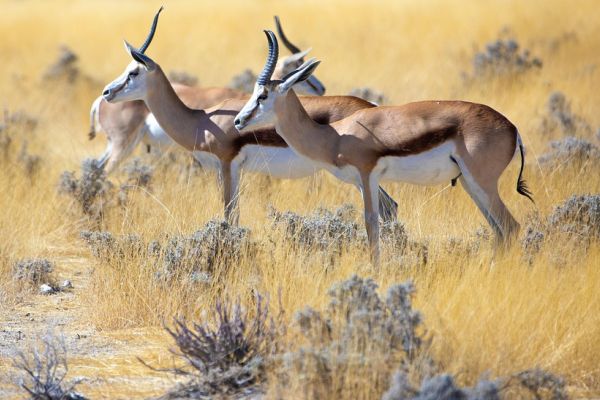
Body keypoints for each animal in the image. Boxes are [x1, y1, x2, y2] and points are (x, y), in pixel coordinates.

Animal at [234, 31, 536, 266]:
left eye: (263, 95)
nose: (238, 121)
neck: (335, 135)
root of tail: (513, 128)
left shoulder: (367, 175)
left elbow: (371, 222)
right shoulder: (361, 181)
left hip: (482, 183)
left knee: (510, 226)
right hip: (470, 184)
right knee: (499, 230)